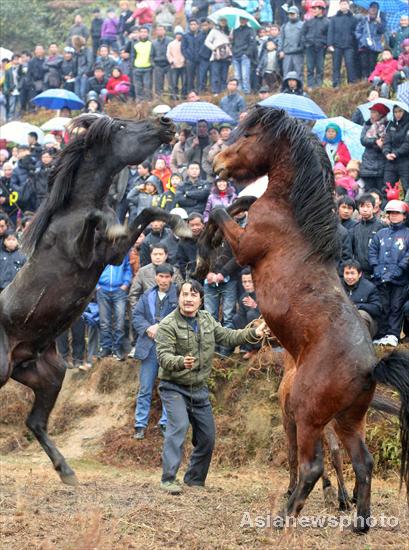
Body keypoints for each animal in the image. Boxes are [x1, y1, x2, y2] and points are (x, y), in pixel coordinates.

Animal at [196, 108, 406, 536]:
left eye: (249, 134)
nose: (216, 164)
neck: (290, 213)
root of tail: (371, 366)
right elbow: (241, 200)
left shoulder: (245, 247)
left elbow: (224, 211)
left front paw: (202, 256)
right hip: (348, 420)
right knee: (363, 462)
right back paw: (360, 523)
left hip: (309, 416)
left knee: (312, 466)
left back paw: (283, 517)